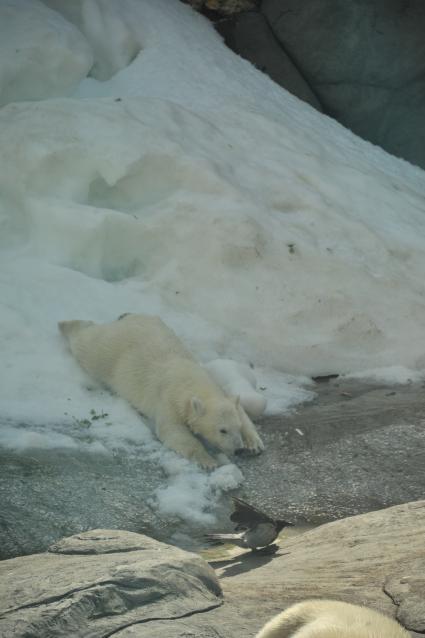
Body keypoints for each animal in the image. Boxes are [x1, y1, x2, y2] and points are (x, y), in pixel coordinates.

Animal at [58, 316, 264, 470]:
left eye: (237, 427)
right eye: (222, 430)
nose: (238, 450)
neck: (192, 381)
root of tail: (127, 319)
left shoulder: (218, 387)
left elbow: (240, 409)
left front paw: (254, 443)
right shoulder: (169, 399)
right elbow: (172, 430)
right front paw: (208, 461)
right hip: (108, 352)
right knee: (88, 344)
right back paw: (66, 324)